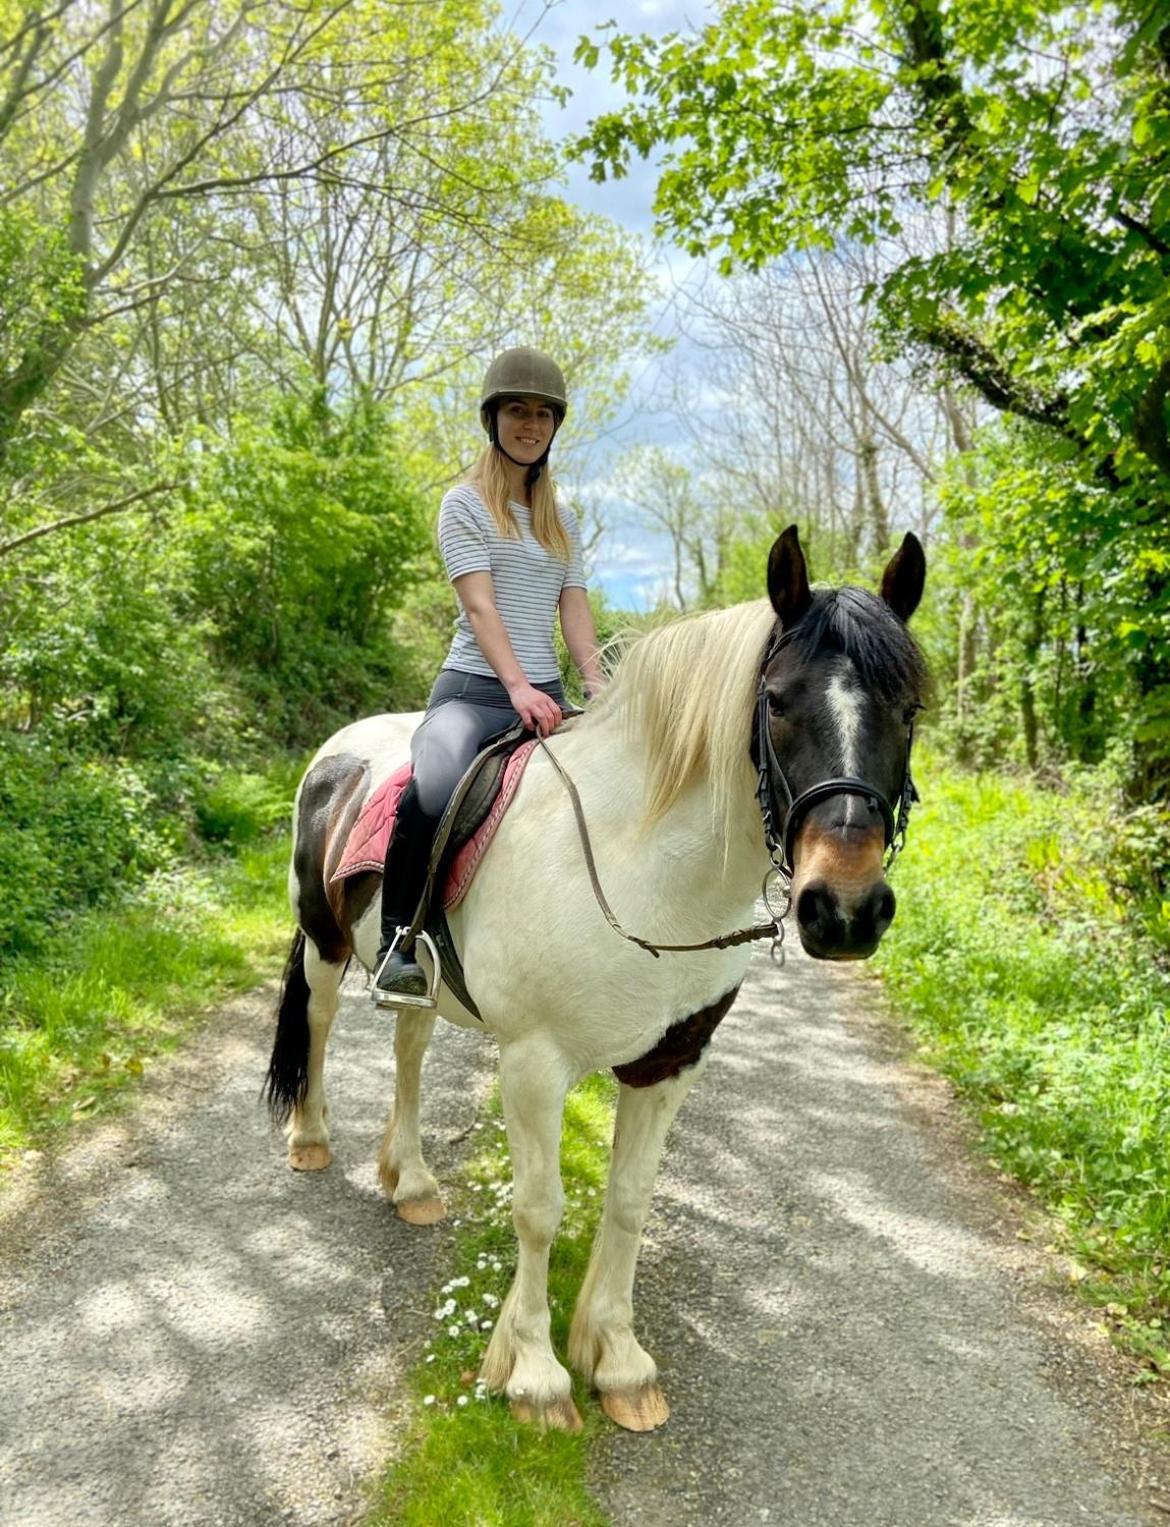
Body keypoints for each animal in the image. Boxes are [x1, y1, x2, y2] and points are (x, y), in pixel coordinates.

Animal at [262, 522, 928, 1429]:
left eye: (909, 707)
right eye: (778, 701)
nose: (847, 908)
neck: (637, 862)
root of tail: (338, 752)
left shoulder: (670, 1061)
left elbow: (629, 1199)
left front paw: (616, 1359)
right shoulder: (534, 1062)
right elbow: (539, 1209)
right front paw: (537, 1374)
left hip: (419, 977)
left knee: (409, 1049)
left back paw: (413, 1179)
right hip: (324, 943)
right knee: (322, 1024)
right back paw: (310, 1138)